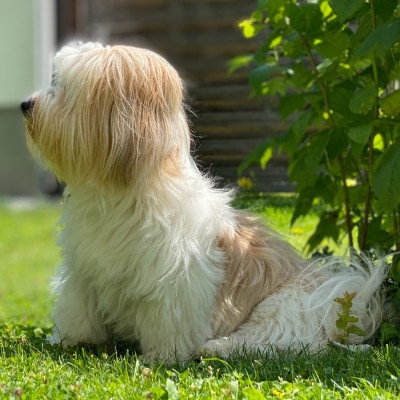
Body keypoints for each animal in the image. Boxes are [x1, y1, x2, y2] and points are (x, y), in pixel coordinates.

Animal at [21, 42, 388, 360]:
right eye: (54, 80)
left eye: (63, 87)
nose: (25, 104)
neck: (119, 193)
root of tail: (340, 309)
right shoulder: (83, 270)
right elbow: (78, 307)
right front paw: (72, 340)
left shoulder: (176, 280)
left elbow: (169, 321)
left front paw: (162, 356)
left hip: (284, 308)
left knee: (273, 341)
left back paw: (214, 347)